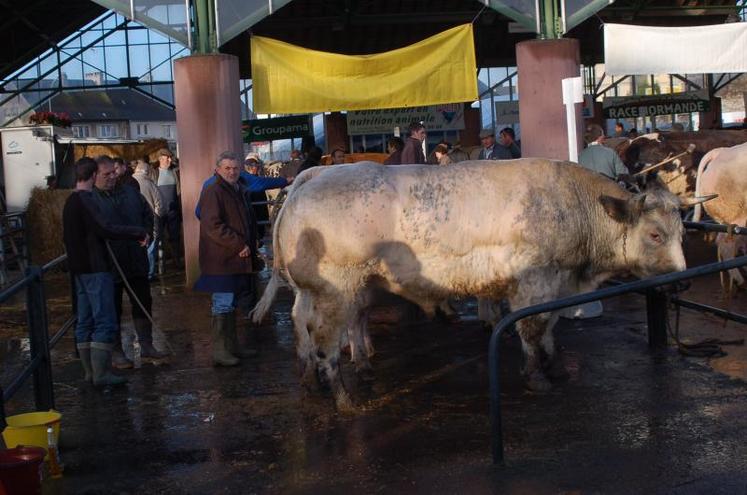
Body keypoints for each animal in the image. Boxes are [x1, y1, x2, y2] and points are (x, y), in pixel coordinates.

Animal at [254, 159, 712, 410]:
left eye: (682, 231)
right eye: (655, 234)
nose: (682, 285)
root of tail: (307, 181)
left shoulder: (554, 283)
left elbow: (549, 326)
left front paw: (554, 364)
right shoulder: (534, 281)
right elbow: (532, 328)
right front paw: (537, 375)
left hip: (324, 291)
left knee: (307, 325)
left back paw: (312, 379)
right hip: (336, 289)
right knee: (325, 340)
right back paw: (343, 396)